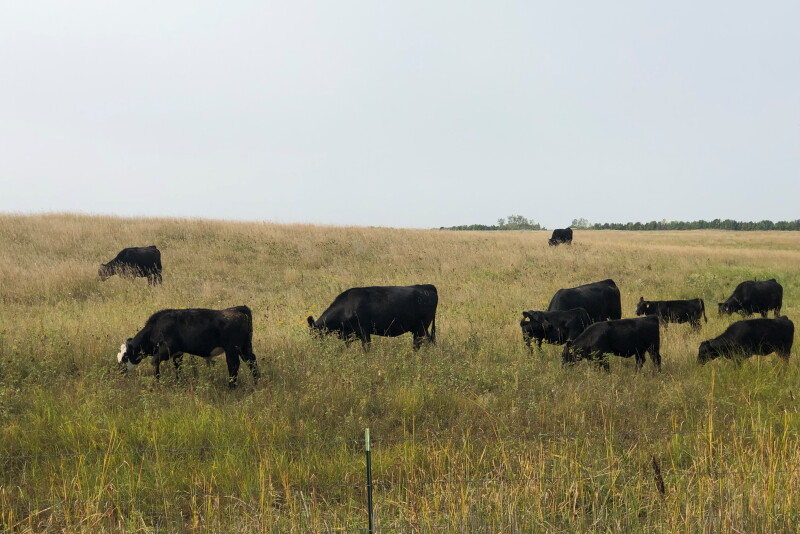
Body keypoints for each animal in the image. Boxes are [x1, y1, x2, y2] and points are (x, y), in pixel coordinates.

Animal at [117, 306, 260, 387]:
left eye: (125, 357)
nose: (119, 372)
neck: (157, 327)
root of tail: (237, 309)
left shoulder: (167, 349)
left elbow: (155, 362)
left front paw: (158, 383)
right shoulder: (178, 353)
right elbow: (178, 367)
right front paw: (179, 383)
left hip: (232, 349)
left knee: (233, 365)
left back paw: (231, 386)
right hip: (245, 348)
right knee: (251, 361)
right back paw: (256, 382)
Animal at [307, 285, 437, 350]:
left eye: (315, 335)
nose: (315, 348)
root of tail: (427, 286)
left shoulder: (364, 331)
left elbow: (366, 348)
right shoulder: (348, 334)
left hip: (420, 327)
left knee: (419, 343)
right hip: (421, 328)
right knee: (429, 341)